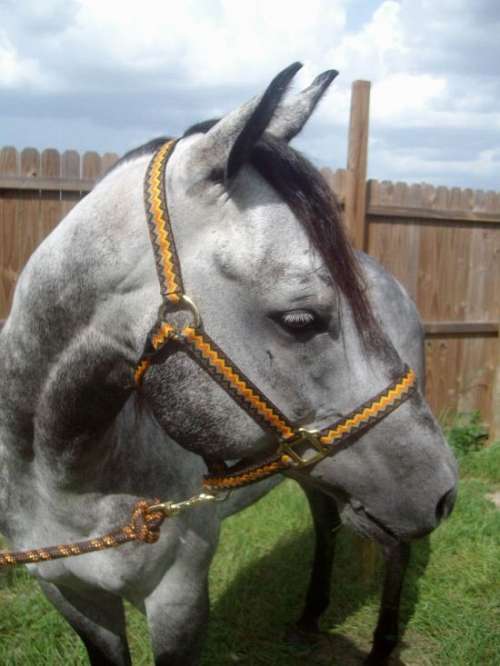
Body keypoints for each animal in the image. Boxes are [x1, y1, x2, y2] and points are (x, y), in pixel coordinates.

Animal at [0, 62, 458, 665]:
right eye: (301, 320)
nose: (445, 492)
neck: (65, 481)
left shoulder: (178, 600)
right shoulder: (70, 595)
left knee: (395, 555)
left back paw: (380, 647)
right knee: (327, 523)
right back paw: (309, 616)